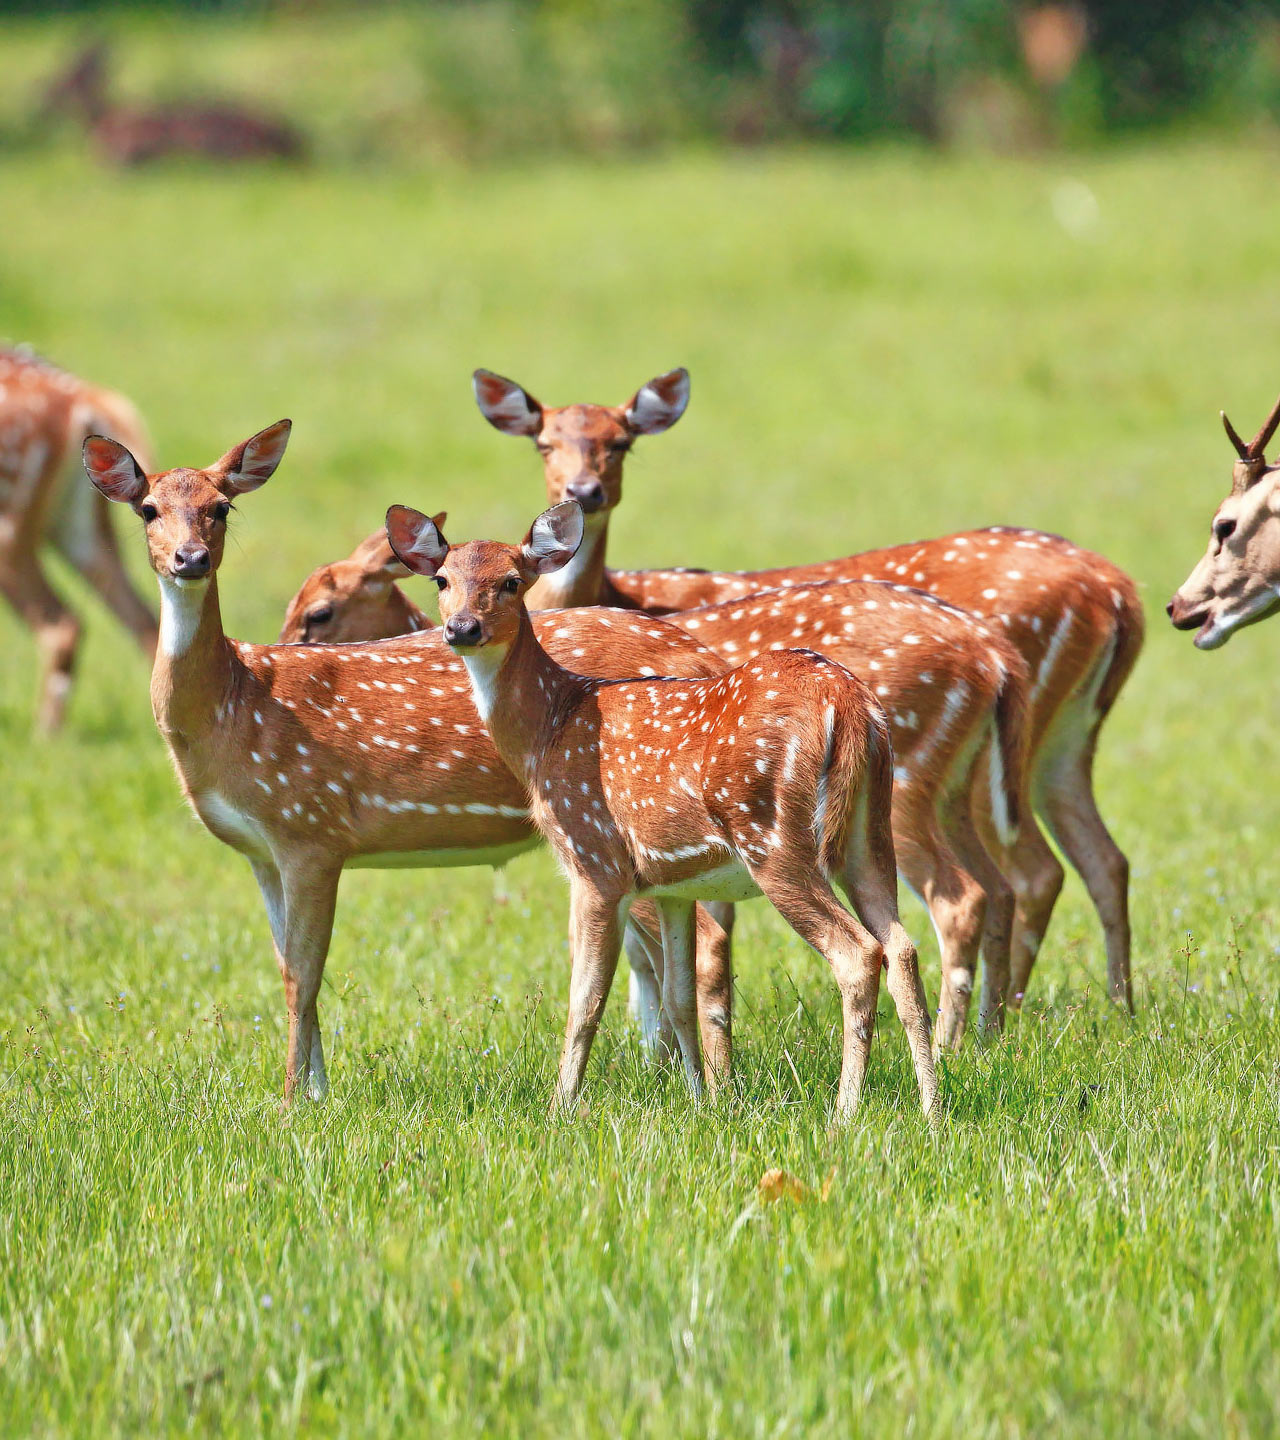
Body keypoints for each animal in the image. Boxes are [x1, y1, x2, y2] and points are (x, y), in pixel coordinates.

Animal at [0, 347, 158, 731]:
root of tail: (83, 397)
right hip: (77, 522)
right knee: (143, 619)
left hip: (10, 521)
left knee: (62, 625)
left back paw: (43, 735)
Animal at [84, 420, 734, 1094]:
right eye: (148, 509)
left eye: (221, 507)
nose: (190, 559)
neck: (233, 706)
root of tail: (705, 659)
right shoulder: (260, 851)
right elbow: (290, 966)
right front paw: (318, 1095)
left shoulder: (310, 829)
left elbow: (301, 976)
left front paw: (290, 1101)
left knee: (707, 943)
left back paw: (716, 1090)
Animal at [385, 501, 933, 1117]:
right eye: (441, 580)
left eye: (510, 581)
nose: (462, 629)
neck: (548, 729)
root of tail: (848, 702)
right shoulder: (672, 884)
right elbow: (677, 997)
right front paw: (702, 1102)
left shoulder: (595, 859)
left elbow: (585, 1000)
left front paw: (560, 1108)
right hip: (870, 829)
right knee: (903, 949)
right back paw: (933, 1110)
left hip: (772, 836)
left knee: (858, 954)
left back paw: (845, 1113)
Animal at [475, 365, 1146, 1013]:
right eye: (543, 442)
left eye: (621, 442)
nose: (582, 492)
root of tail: (1121, 594)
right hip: (1050, 746)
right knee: (1090, 862)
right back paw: (1090, 1011)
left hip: (922, 778)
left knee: (992, 886)